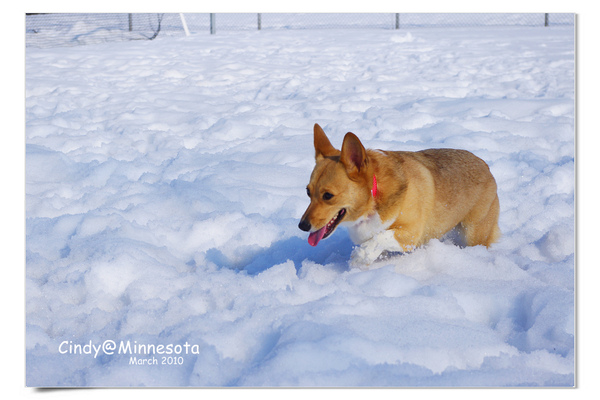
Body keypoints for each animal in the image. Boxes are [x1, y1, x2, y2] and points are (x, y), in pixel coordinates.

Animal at [298, 123, 500, 268]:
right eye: (308, 192)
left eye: (328, 196)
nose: (302, 226)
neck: (374, 195)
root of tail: (486, 166)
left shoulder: (411, 234)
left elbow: (383, 236)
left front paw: (360, 255)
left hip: (473, 233)